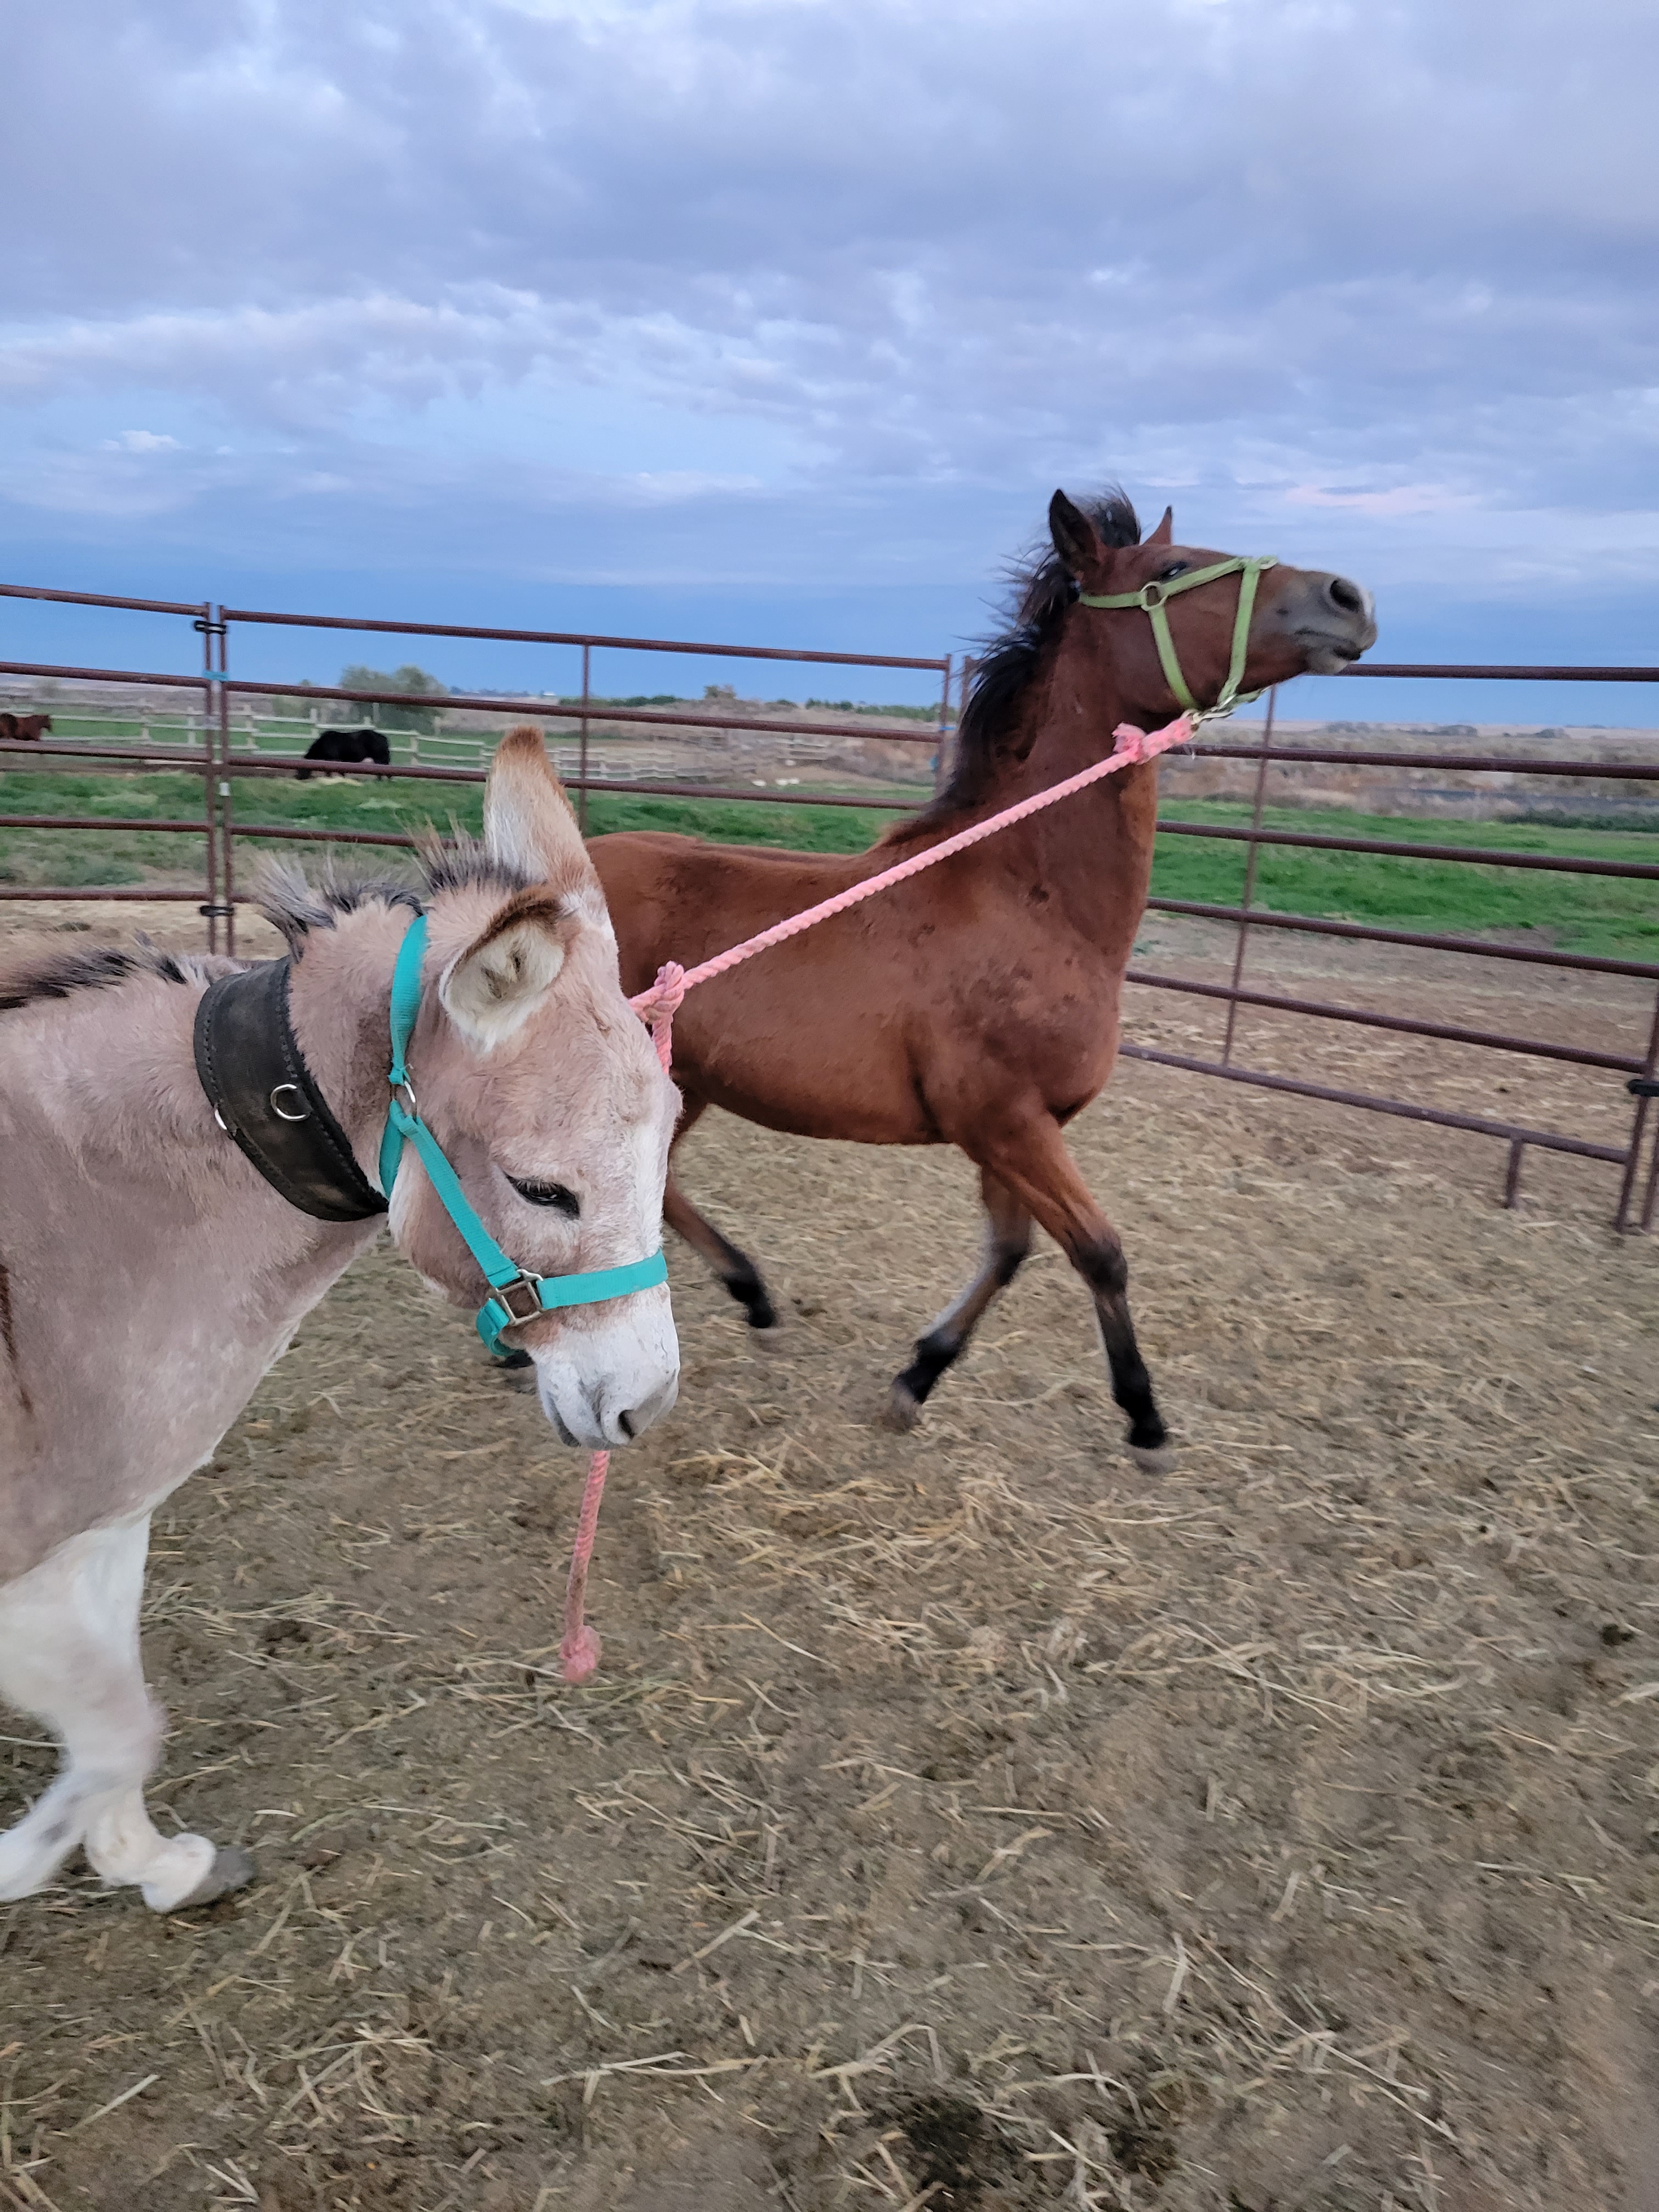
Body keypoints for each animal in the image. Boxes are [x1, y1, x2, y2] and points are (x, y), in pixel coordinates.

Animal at [295, 727, 391, 780]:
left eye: (302, 769)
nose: (298, 778)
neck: (323, 744)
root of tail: (383, 738)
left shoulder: (334, 760)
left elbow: (332, 772)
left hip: (381, 758)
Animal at [590, 490, 1376, 1460]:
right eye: (1168, 572)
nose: (1347, 599)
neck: (1027, 902)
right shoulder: (1004, 1121)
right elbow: (1099, 1250)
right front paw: (1144, 1418)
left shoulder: (1023, 1128)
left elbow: (1011, 1252)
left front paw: (916, 1377)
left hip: (684, 1084)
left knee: (647, 1191)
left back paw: (751, 1297)